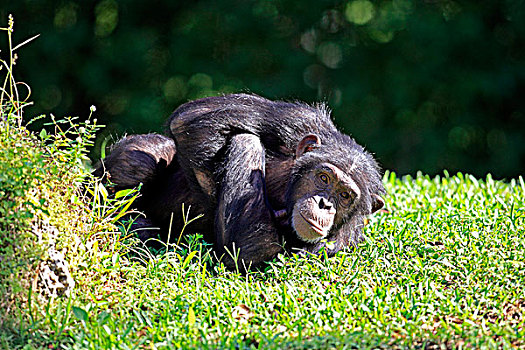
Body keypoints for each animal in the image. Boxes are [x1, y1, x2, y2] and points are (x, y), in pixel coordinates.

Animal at [94, 93, 382, 268]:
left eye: (345, 195)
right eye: (323, 177)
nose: (325, 204)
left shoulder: (340, 243)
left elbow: (254, 251)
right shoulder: (297, 120)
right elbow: (193, 121)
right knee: (145, 157)